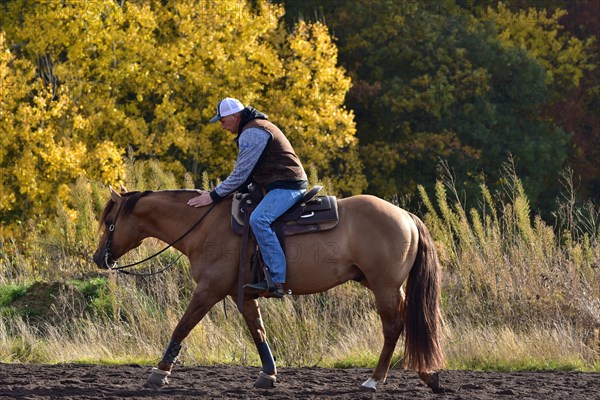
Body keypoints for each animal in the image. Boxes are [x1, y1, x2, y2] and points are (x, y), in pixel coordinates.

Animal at [90, 188, 446, 394]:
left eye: (109, 221)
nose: (98, 258)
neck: (206, 226)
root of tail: (406, 216)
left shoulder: (208, 290)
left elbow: (183, 326)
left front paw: (159, 373)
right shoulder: (243, 295)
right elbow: (257, 331)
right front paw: (268, 375)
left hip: (384, 286)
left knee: (394, 326)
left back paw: (375, 380)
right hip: (384, 285)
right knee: (413, 322)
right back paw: (429, 376)